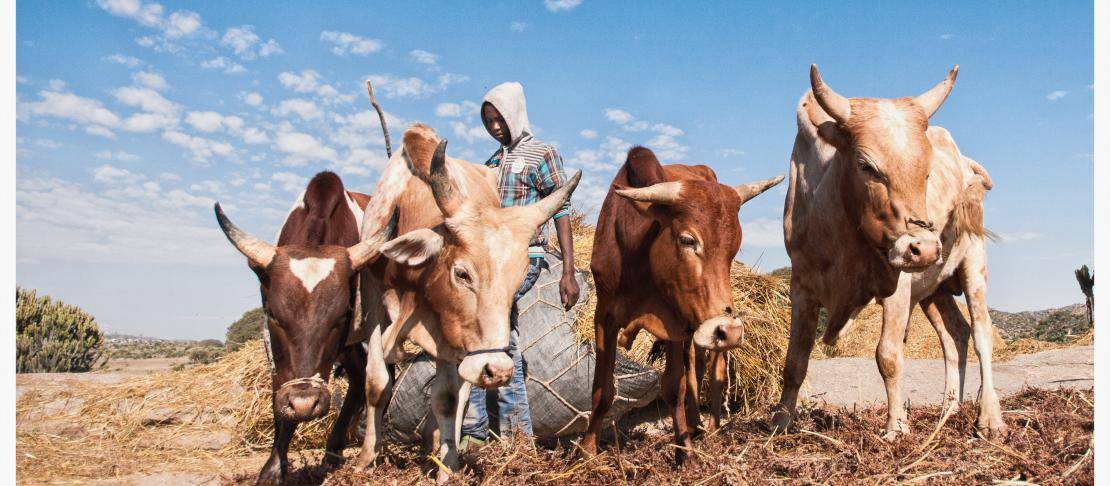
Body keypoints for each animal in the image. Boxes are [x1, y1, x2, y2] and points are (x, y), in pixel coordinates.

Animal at [212, 171, 395, 486]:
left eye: (342, 315)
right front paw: (273, 468)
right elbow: (279, 393)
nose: (304, 403)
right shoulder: (274, 346)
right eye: (274, 314)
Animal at [355, 123, 586, 479]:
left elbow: (449, 398)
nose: (497, 371)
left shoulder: (449, 332)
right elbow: (377, 382)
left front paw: (447, 467)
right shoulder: (372, 295)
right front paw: (366, 459)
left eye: (518, 279)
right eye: (462, 273)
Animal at [581, 147, 781, 463]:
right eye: (688, 240)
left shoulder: (674, 325)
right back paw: (695, 422)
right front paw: (587, 450)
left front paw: (684, 451)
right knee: (695, 371)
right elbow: (602, 389)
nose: (730, 331)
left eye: (734, 249)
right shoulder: (604, 317)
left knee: (713, 373)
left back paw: (710, 426)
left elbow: (675, 387)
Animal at [772, 64, 1007, 439]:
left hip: (973, 262)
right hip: (934, 288)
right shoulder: (802, 287)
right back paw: (947, 413)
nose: (923, 248)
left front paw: (896, 426)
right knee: (956, 334)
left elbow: (889, 357)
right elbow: (795, 360)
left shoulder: (897, 286)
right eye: (866, 165)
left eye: (927, 172)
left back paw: (989, 417)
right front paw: (780, 422)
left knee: (982, 332)